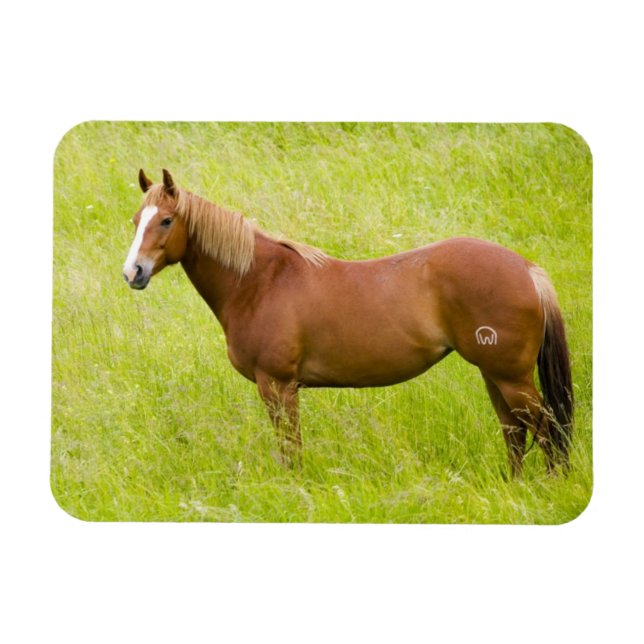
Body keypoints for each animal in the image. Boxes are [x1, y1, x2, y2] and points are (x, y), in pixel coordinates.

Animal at [123, 169, 573, 478]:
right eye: (135, 220)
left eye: (166, 221)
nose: (133, 272)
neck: (260, 281)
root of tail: (526, 268)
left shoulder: (277, 385)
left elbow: (291, 448)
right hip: (493, 375)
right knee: (515, 432)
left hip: (510, 377)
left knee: (546, 430)